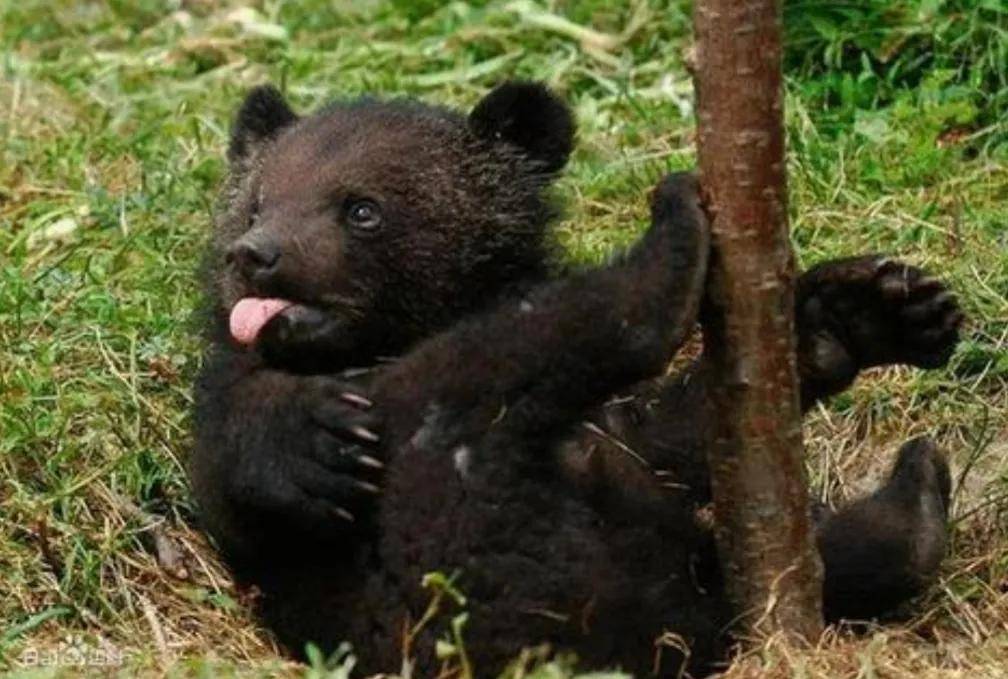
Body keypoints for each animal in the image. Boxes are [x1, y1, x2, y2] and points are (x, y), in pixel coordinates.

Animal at [189, 81, 962, 677]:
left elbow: (664, 434)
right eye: (257, 201)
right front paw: (321, 442)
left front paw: (863, 314)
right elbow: (240, 458)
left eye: (361, 208)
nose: (256, 254)